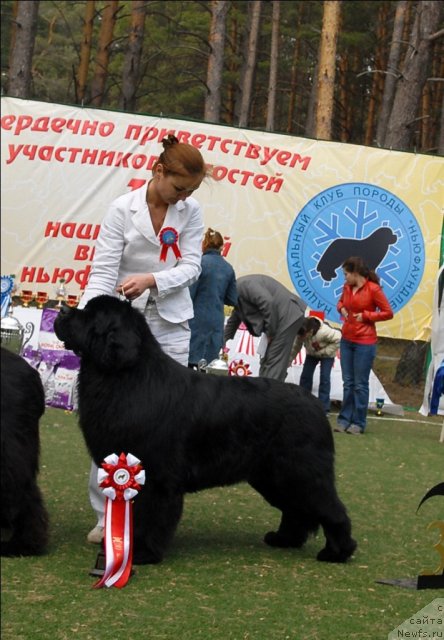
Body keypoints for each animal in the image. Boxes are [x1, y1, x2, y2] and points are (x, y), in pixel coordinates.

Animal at [53, 296, 358, 564]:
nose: (63, 310)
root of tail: (314, 403)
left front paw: (142, 553)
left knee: (331, 508)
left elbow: (149, 514)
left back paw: (337, 552)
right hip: (273, 476)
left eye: (91, 315)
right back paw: (285, 539)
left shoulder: (155, 473)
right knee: (296, 509)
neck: (126, 376)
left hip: (301, 470)